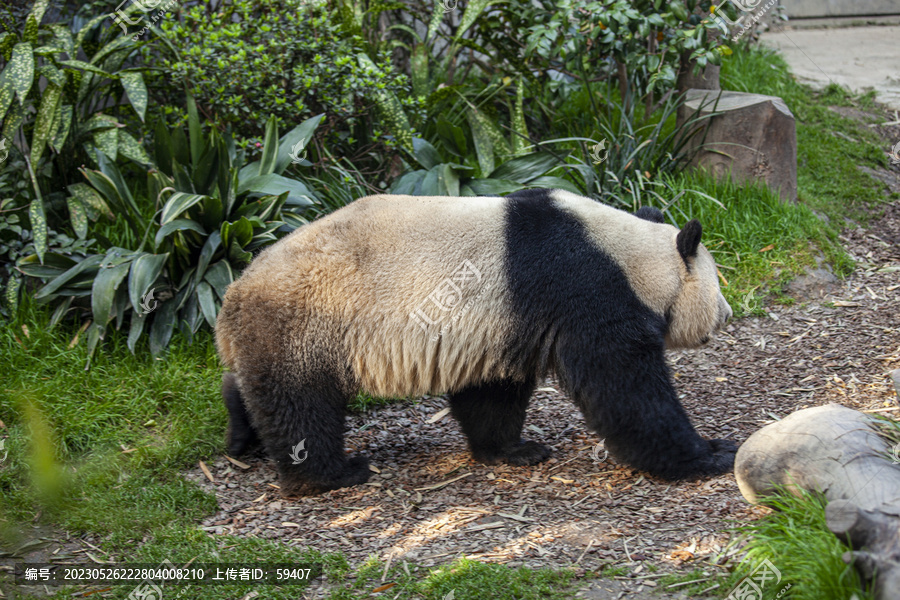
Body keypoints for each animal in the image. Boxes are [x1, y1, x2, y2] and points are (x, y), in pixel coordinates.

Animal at [214, 189, 736, 496]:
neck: (629, 255)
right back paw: (330, 475)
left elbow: (491, 391)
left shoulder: (500, 321)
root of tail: (231, 297)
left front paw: (512, 450)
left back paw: (241, 434)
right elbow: (624, 388)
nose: (728, 315)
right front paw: (710, 453)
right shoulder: (582, 287)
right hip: (304, 322)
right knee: (301, 407)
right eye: (718, 286)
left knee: (258, 387)